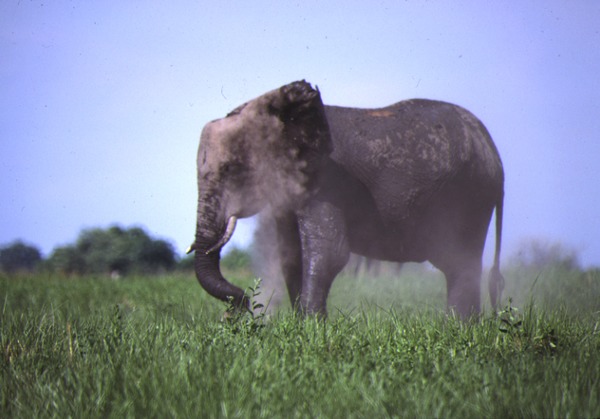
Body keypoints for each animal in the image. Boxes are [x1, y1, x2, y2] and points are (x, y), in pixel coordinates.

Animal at [188, 80, 506, 320]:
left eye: (231, 169)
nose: (240, 307)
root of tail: (493, 149)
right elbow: (291, 256)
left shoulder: (326, 183)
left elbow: (329, 253)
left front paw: (311, 331)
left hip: (471, 195)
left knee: (460, 263)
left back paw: (459, 328)